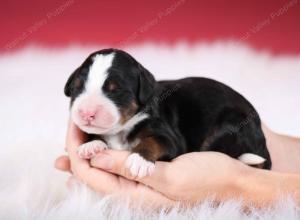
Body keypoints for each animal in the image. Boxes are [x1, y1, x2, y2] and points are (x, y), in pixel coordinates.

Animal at [63, 48, 272, 179]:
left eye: (115, 90)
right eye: (77, 87)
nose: (87, 113)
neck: (122, 129)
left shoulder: (171, 138)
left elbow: (154, 141)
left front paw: (139, 160)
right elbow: (92, 134)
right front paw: (91, 145)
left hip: (231, 125)